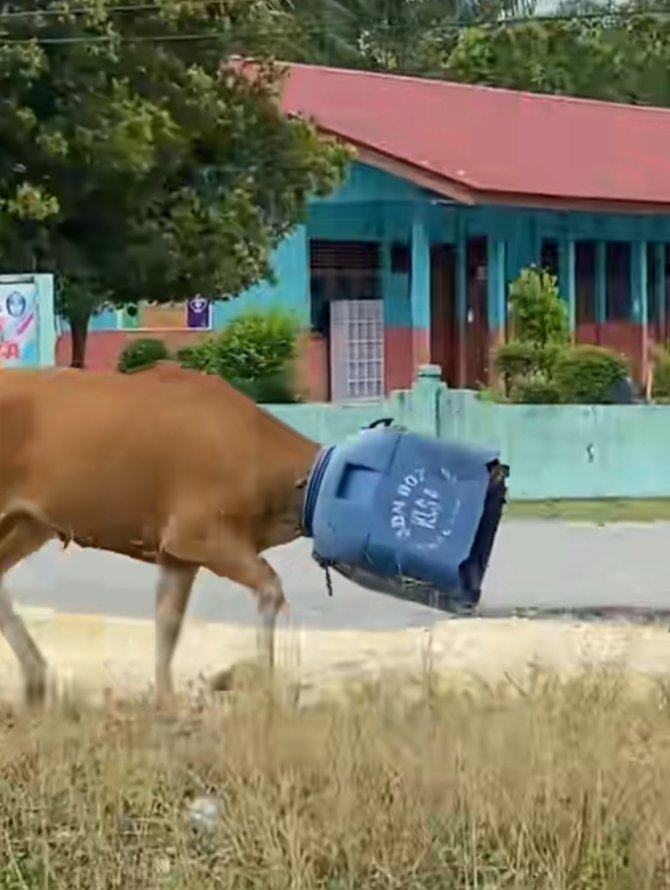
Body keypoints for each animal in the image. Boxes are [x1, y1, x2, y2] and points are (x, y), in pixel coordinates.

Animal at [0, 364, 320, 704]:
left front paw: (166, 699)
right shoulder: (197, 532)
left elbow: (168, 625)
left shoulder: (176, 555)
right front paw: (271, 686)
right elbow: (272, 588)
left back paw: (36, 677)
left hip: (31, 522)